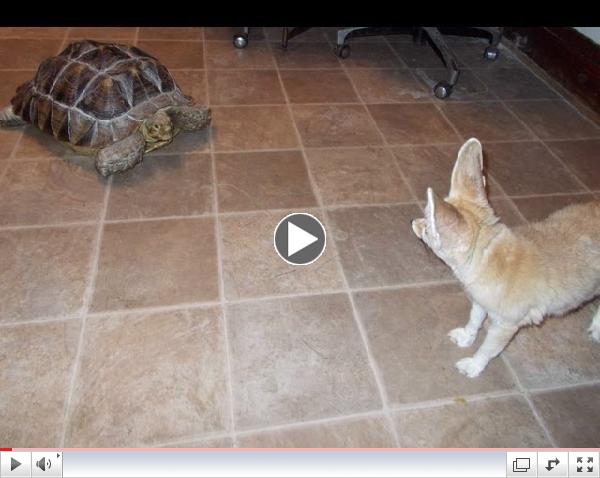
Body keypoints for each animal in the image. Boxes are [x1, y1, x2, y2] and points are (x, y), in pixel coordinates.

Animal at [412, 137, 600, 378]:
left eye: (428, 226)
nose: (412, 222)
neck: (488, 258)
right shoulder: (481, 301)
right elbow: (474, 320)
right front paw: (466, 337)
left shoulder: (505, 325)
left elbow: (487, 349)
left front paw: (474, 366)